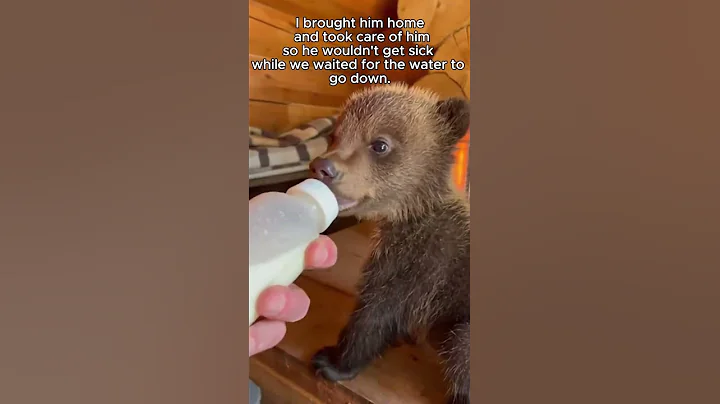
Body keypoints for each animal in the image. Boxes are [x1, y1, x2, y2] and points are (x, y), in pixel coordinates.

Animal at [307, 83, 471, 404]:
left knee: (461, 348)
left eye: (379, 144)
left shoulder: (422, 259)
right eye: (335, 135)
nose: (323, 167)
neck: (413, 210)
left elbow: (378, 310)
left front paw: (333, 361)